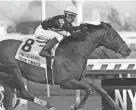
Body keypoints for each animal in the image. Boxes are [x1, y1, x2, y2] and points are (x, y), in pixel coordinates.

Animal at [0, 21, 131, 110]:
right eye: (114, 36)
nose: (128, 50)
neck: (74, 51)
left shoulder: (79, 78)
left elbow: (101, 90)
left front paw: (117, 107)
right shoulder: (65, 82)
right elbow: (88, 89)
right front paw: (75, 106)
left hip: (7, 80)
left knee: (9, 101)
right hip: (13, 72)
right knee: (22, 93)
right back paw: (50, 105)